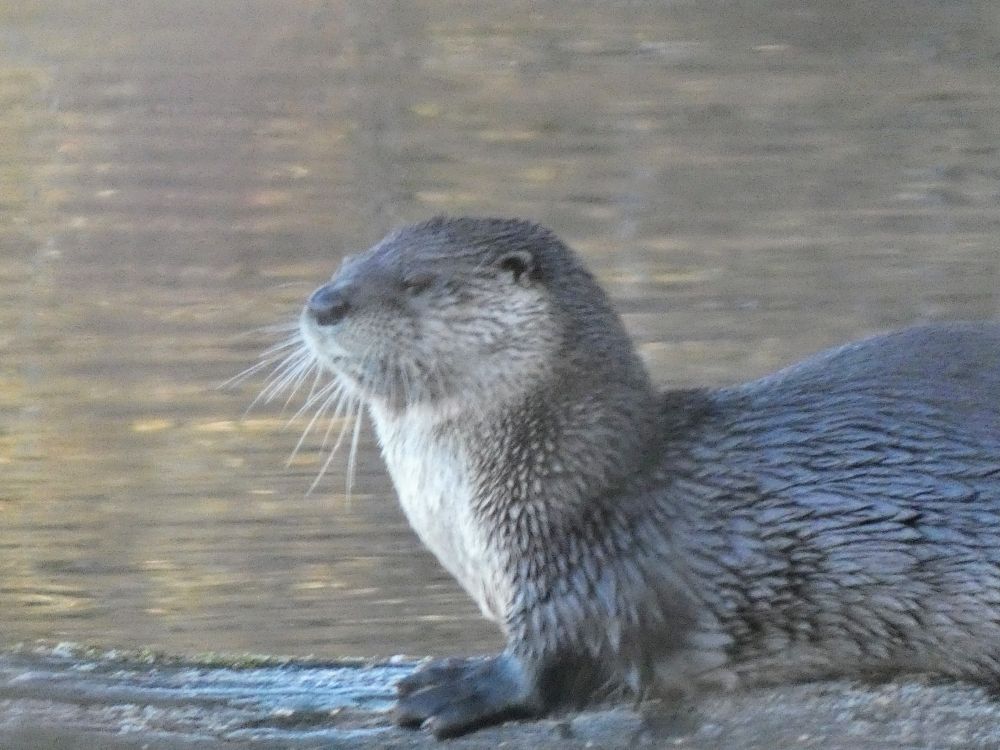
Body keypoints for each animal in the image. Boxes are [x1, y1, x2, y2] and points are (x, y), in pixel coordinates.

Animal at [290, 216, 1000, 739]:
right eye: (346, 263)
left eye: (416, 280)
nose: (324, 303)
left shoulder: (588, 576)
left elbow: (552, 665)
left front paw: (455, 688)